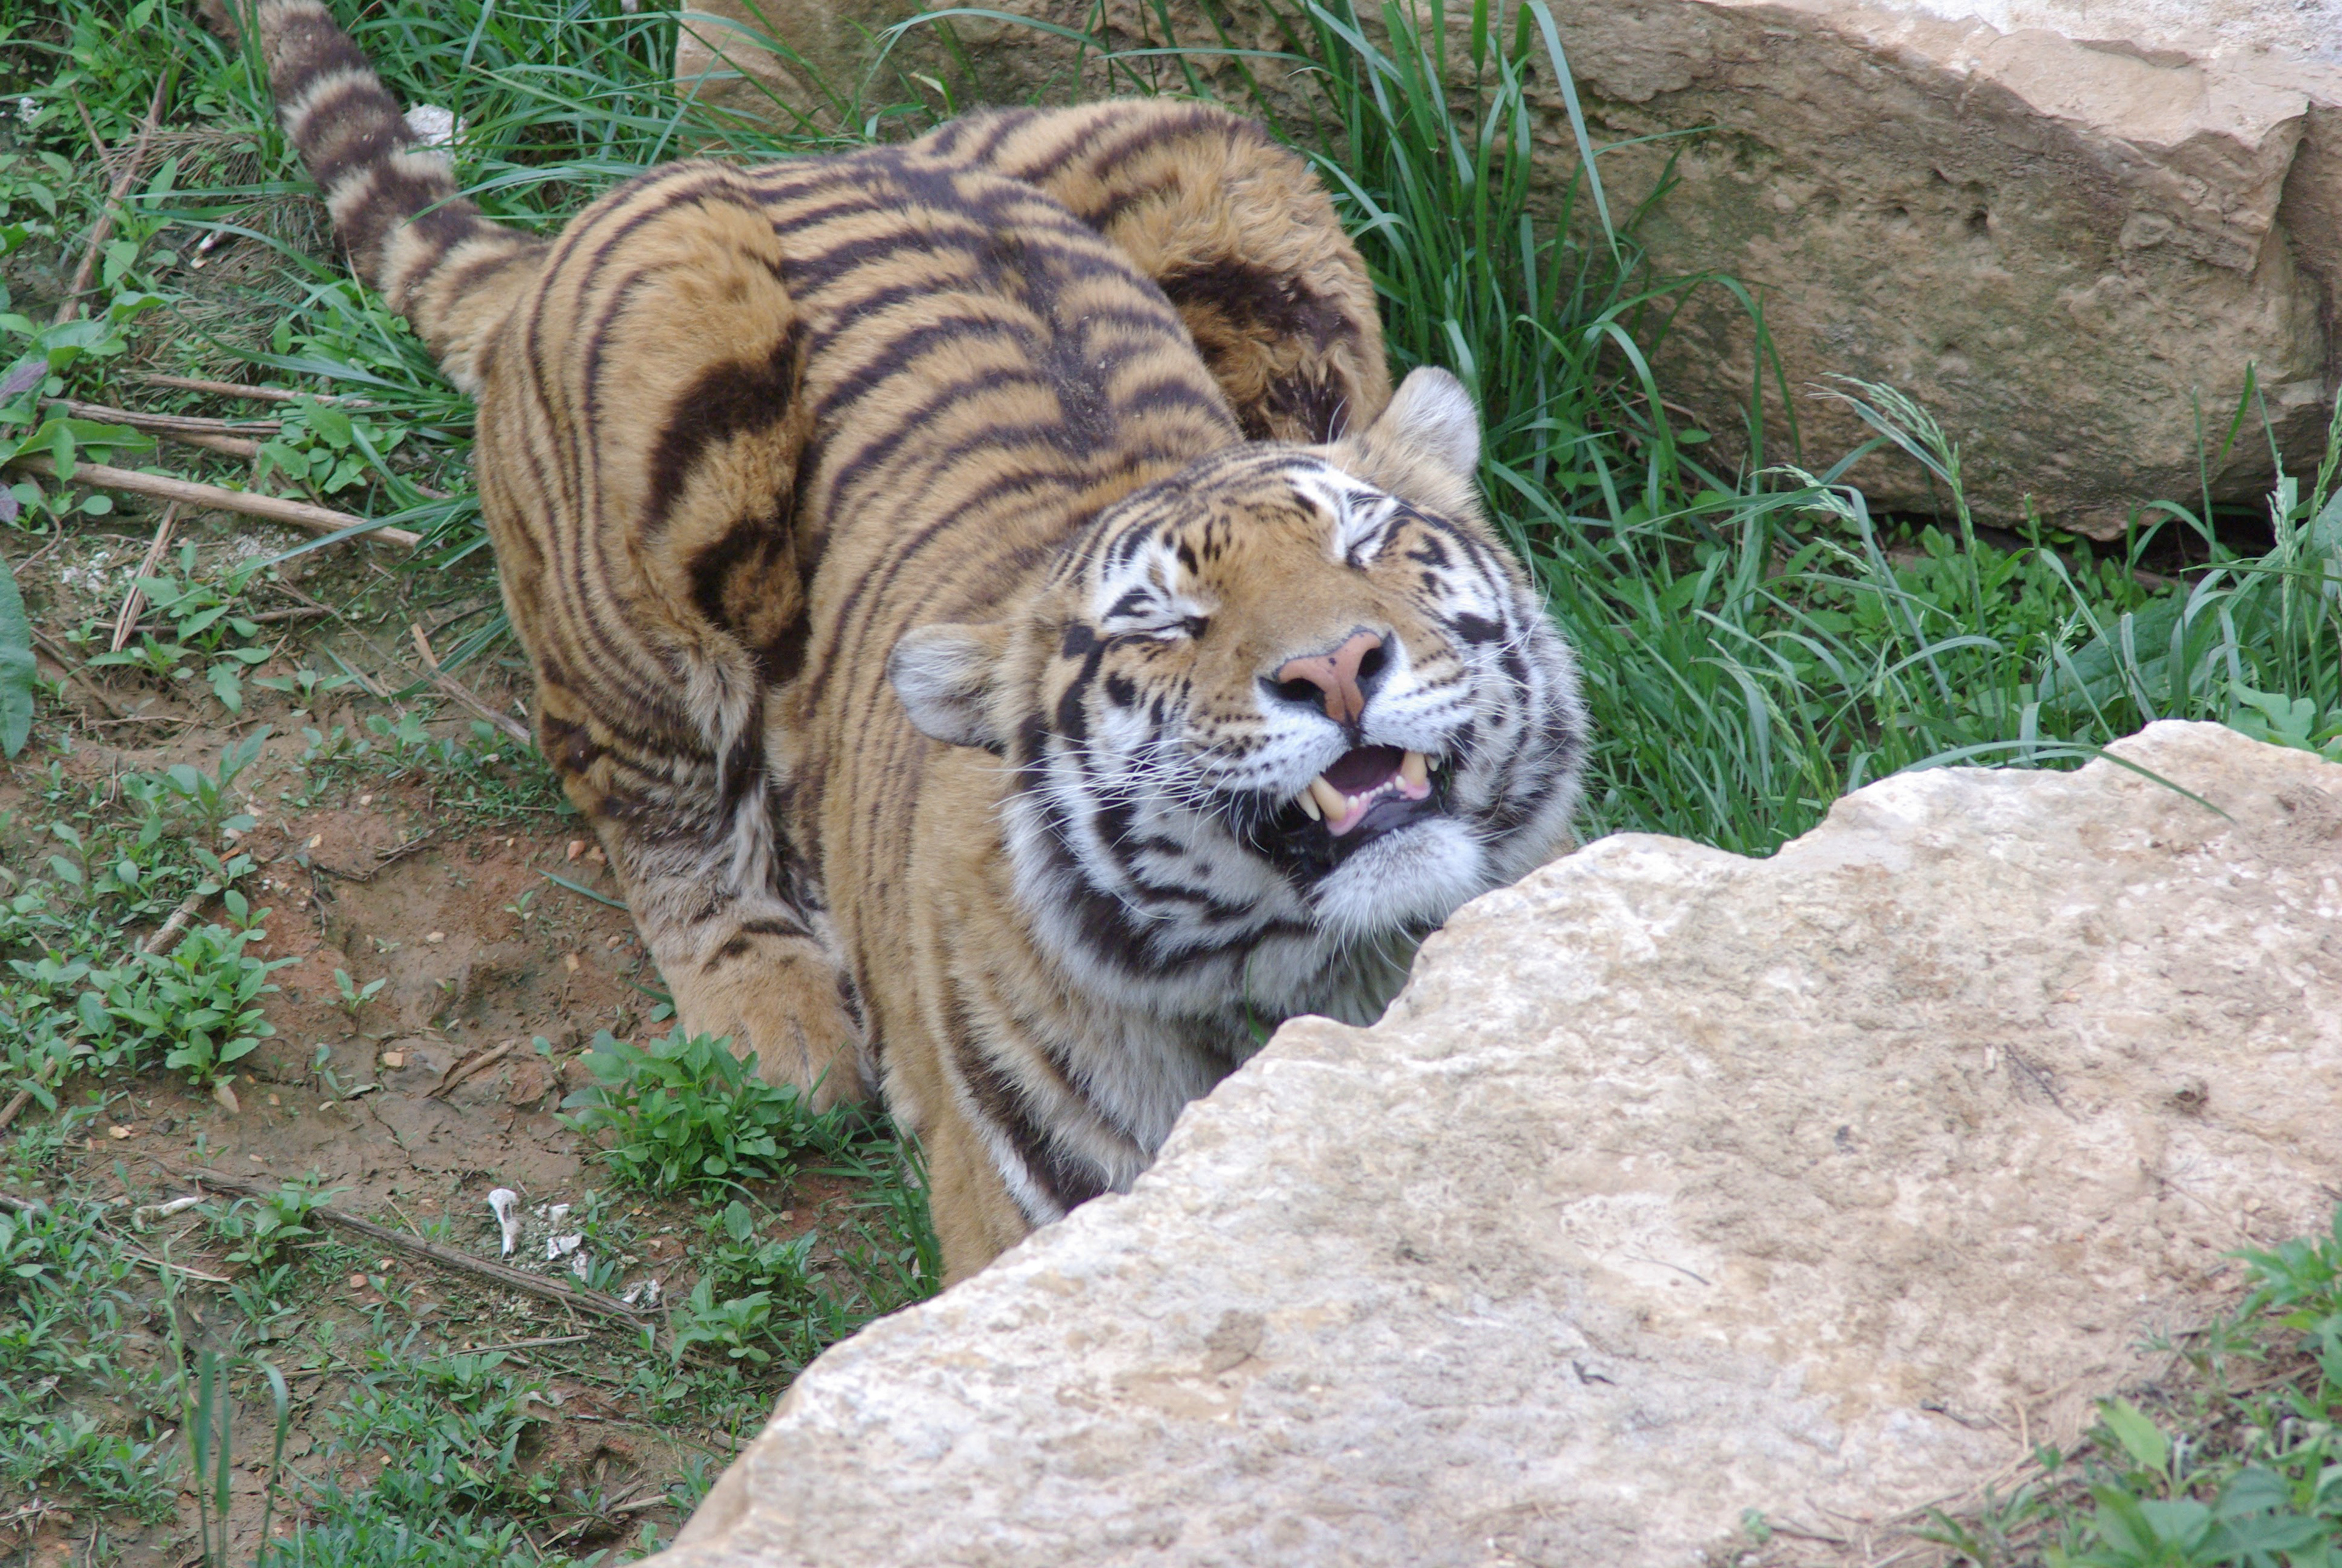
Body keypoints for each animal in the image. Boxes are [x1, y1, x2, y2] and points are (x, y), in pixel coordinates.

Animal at [225, 0, 1589, 1282]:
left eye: (1364, 542)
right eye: (1161, 622)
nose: (1337, 669)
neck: (1338, 980)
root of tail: (806, 158)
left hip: (1233, 164)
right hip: (653, 438)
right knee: (641, 787)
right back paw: (778, 1025)